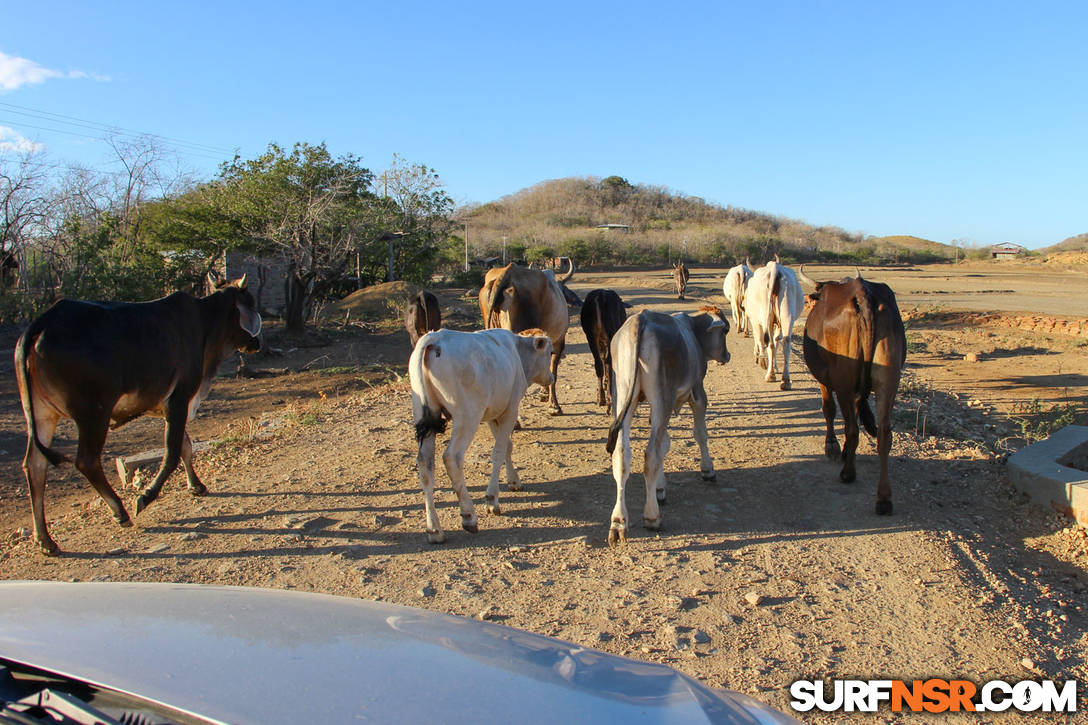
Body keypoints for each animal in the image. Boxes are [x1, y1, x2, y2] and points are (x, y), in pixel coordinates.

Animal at [15, 274, 262, 550]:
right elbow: (173, 453)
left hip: (42, 414)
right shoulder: (179, 400)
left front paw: (197, 486)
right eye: (250, 303)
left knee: (35, 465)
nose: (257, 342)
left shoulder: (173, 405)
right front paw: (146, 496)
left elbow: (185, 447)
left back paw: (45, 539)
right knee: (86, 461)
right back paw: (119, 512)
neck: (205, 323)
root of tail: (41, 324)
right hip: (93, 414)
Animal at [411, 324, 557, 539]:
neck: (517, 352)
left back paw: (434, 529)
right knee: (452, 457)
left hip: (425, 416)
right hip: (467, 417)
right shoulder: (510, 410)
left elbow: (507, 447)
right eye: (551, 352)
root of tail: (435, 338)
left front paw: (514, 480)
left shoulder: (493, 413)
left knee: (425, 464)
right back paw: (468, 515)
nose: (551, 377)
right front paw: (492, 498)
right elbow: (498, 452)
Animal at [604, 304, 731, 542]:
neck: (692, 330)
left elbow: (665, 443)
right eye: (725, 331)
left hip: (623, 395)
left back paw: (618, 521)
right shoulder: (697, 393)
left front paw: (659, 488)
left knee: (622, 454)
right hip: (662, 397)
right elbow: (699, 434)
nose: (727, 355)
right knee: (651, 453)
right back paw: (652, 517)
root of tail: (640, 321)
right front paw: (708, 470)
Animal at [744, 256, 805, 387]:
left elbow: (760, 339)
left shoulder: (755, 321)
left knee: (768, 342)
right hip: (787, 315)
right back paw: (785, 380)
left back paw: (768, 371)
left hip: (765, 316)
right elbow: (777, 342)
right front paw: (775, 367)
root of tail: (775, 269)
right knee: (785, 342)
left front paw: (763, 360)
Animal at [800, 265, 909, 513]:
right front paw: (844, 450)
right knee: (884, 433)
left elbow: (829, 410)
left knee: (852, 427)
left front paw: (832, 447)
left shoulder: (825, 380)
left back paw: (848, 473)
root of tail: (863, 296)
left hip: (844, 382)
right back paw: (883, 498)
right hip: (888, 381)